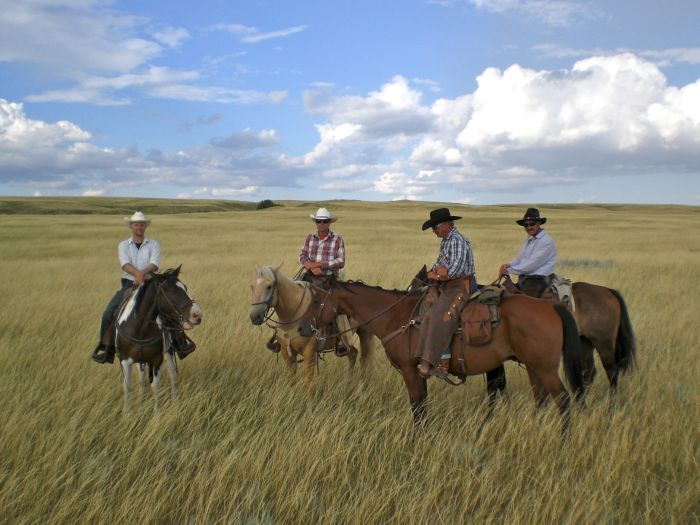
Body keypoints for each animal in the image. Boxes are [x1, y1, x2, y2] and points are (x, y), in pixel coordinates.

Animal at [115, 268, 202, 412]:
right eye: (170, 290)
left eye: (185, 287)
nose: (197, 315)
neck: (139, 328)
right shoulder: (124, 360)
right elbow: (127, 388)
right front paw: (126, 414)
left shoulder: (156, 359)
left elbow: (156, 386)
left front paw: (157, 413)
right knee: (142, 379)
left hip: (168, 353)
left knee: (172, 375)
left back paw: (175, 400)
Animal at [304, 278, 584, 430]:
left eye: (316, 300)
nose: (304, 327)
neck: (396, 317)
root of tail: (551, 306)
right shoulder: (419, 372)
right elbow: (423, 405)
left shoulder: (410, 370)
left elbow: (417, 406)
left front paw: (418, 439)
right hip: (534, 367)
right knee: (541, 399)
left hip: (545, 368)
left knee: (562, 400)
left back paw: (563, 441)